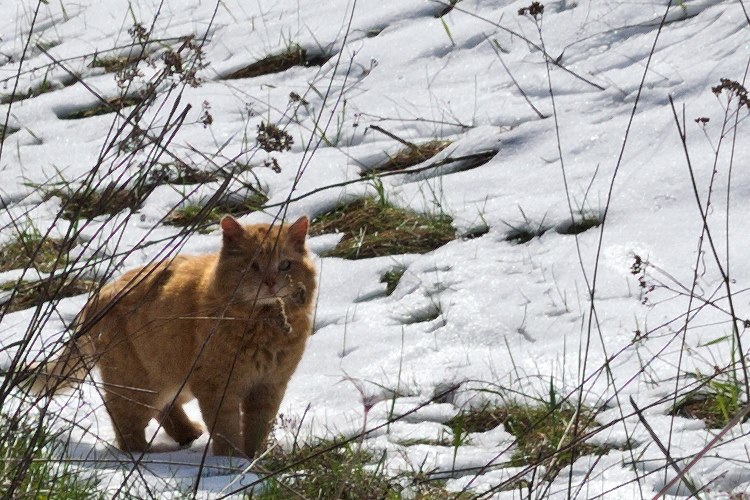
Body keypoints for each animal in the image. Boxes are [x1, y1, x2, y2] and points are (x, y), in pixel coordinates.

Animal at [29, 215, 316, 458]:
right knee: (124, 423)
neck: (263, 323)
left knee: (164, 408)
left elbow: (257, 429)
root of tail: (99, 294)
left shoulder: (269, 387)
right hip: (139, 384)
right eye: (253, 266)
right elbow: (227, 429)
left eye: (285, 265)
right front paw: (231, 462)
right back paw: (146, 455)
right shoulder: (217, 387)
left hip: (171, 381)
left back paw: (188, 433)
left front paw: (253, 459)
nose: (270, 283)